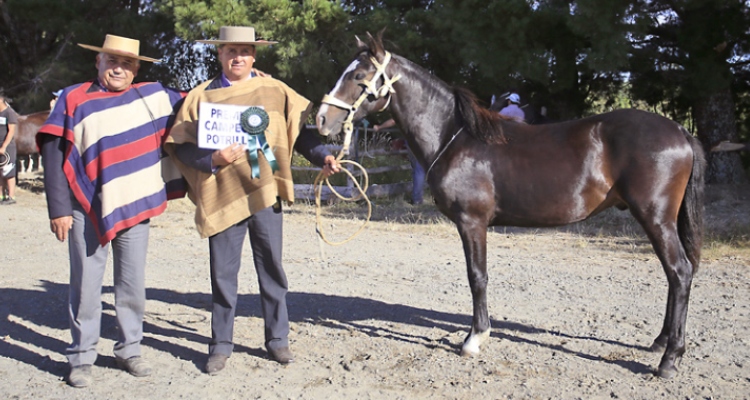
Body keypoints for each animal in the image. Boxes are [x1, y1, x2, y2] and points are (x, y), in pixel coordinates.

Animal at [316, 32, 704, 380]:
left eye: (358, 76)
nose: (321, 119)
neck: (455, 138)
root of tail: (680, 132)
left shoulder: (472, 222)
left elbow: (477, 276)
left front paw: (475, 338)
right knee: (674, 275)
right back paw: (660, 342)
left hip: (655, 218)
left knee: (680, 272)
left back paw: (669, 360)